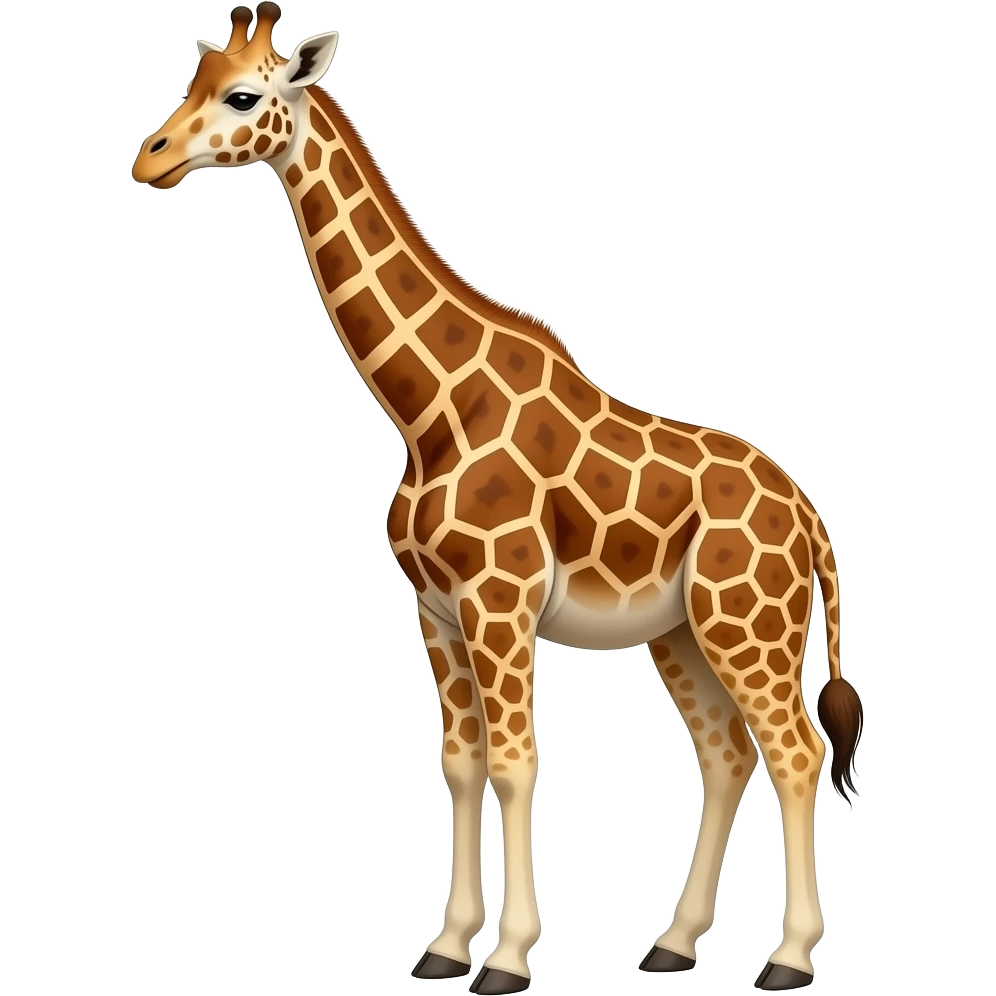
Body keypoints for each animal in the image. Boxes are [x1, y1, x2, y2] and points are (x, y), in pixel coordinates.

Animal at [131, 6, 863, 992]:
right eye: (194, 80)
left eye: (244, 95)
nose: (151, 158)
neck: (427, 411)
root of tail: (810, 517)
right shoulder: (436, 609)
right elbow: (461, 762)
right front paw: (446, 946)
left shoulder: (499, 599)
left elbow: (517, 764)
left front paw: (509, 958)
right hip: (682, 631)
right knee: (725, 752)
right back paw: (673, 944)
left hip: (750, 623)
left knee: (796, 751)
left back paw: (788, 957)